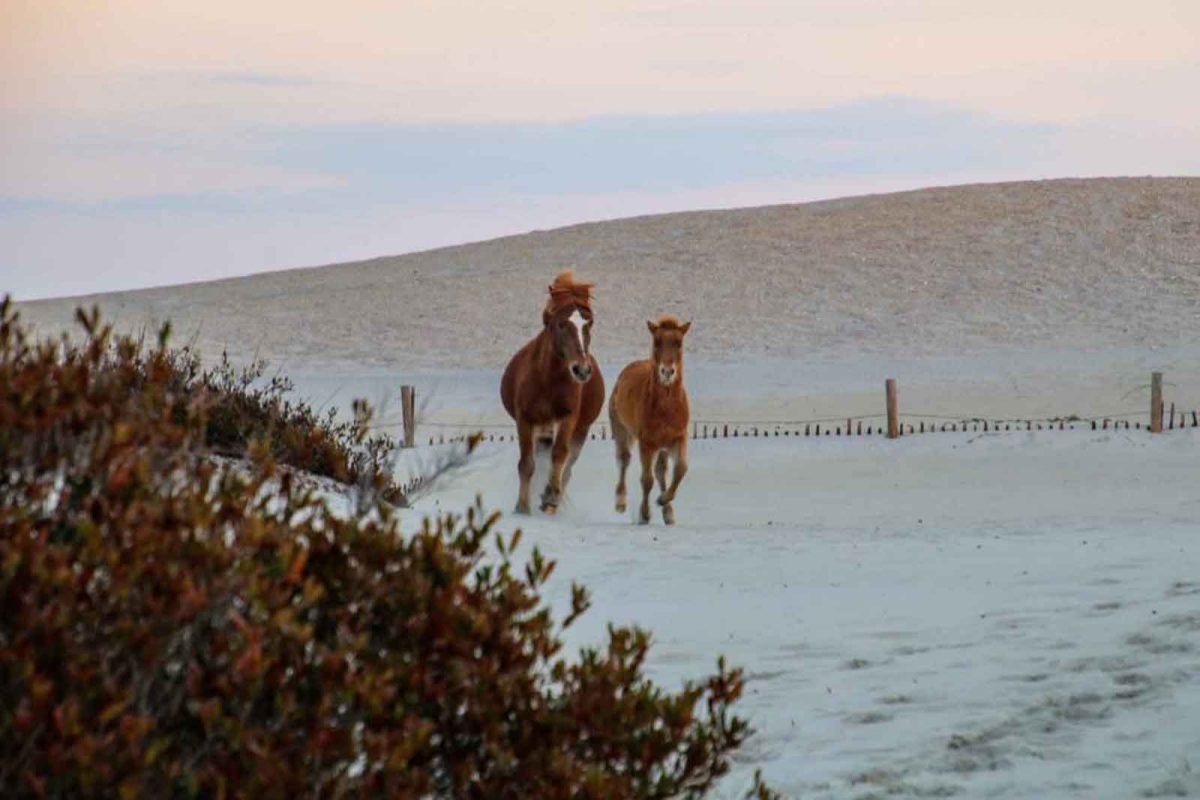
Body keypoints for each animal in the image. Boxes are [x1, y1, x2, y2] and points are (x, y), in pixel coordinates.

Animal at [499, 268, 604, 515]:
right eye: (561, 324)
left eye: (589, 323)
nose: (582, 370)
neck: (547, 381)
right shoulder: (525, 420)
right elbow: (526, 464)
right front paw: (521, 508)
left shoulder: (567, 418)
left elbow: (559, 456)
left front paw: (550, 497)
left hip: (580, 431)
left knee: (567, 468)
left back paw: (550, 502)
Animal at [614, 311, 691, 525]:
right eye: (657, 342)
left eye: (678, 343)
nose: (667, 372)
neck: (666, 409)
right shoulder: (647, 443)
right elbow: (646, 480)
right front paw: (645, 514)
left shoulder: (678, 438)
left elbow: (681, 469)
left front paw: (663, 501)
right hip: (622, 431)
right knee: (624, 460)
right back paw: (620, 502)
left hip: (662, 447)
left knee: (660, 473)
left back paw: (668, 512)